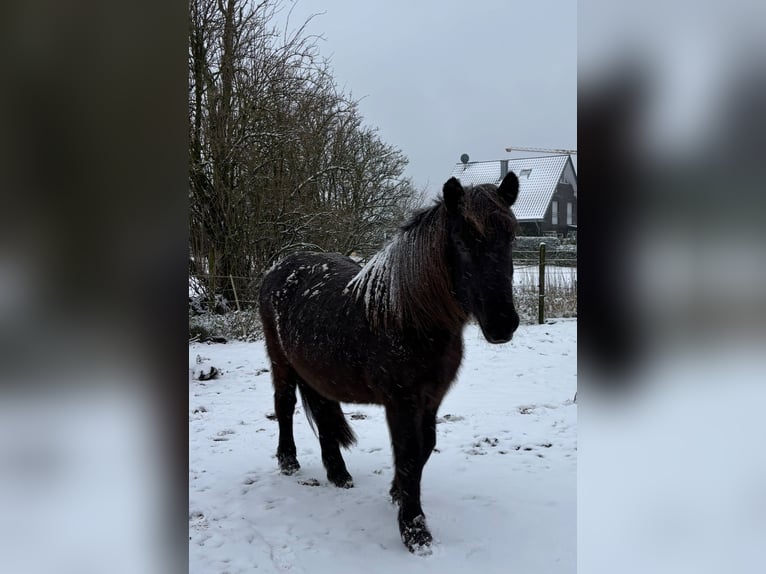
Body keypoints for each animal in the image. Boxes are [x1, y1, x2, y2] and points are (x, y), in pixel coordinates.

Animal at [258, 171, 520, 553]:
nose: (503, 324)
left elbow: (423, 448)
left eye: (512, 236)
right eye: (460, 239)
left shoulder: (431, 398)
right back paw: (289, 461)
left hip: (316, 370)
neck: (408, 317)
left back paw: (338, 473)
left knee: (321, 409)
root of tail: (280, 267)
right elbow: (409, 453)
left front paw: (398, 494)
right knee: (285, 405)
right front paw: (414, 531)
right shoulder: (401, 400)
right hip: (281, 362)